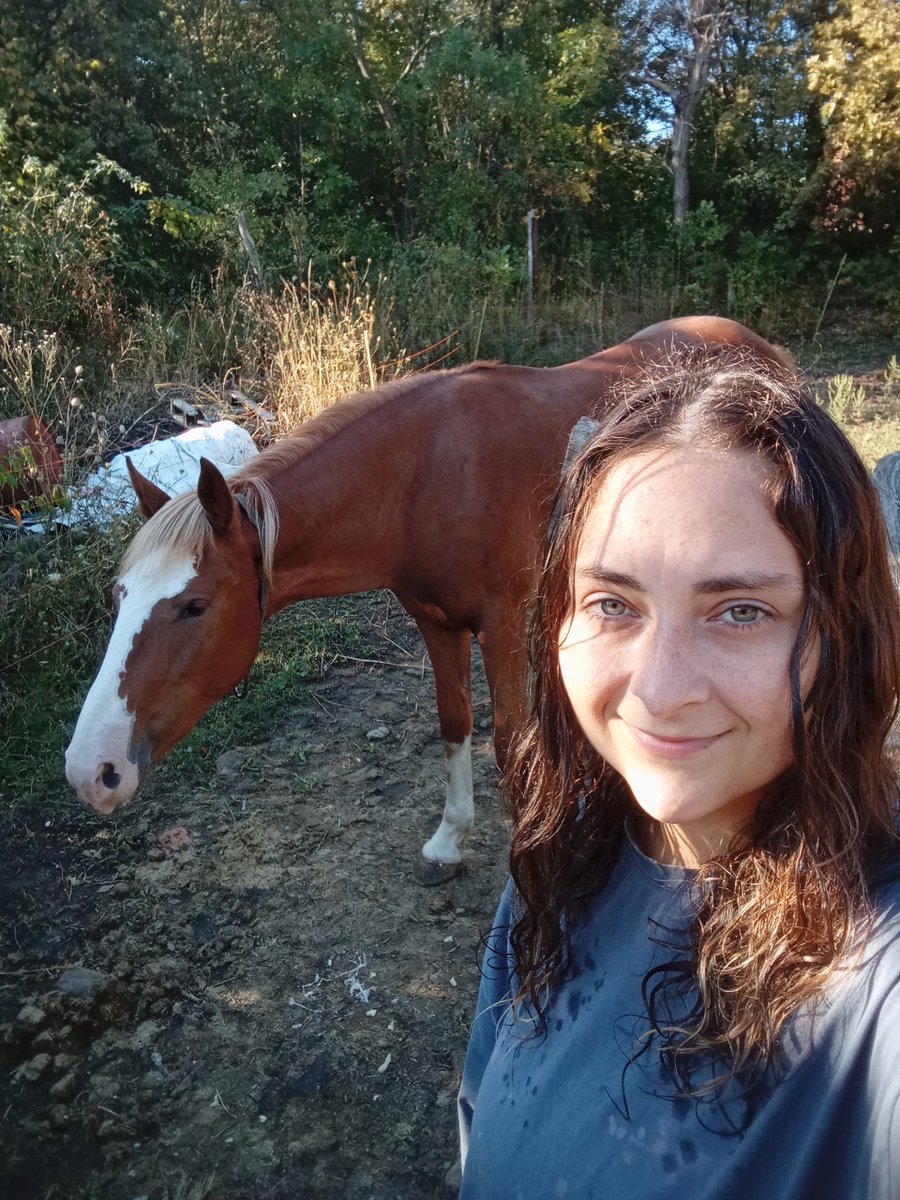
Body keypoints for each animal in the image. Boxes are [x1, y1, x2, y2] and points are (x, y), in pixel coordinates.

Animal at [65, 316, 791, 879]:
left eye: (194, 605)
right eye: (119, 597)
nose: (91, 770)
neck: (424, 478)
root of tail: (752, 341)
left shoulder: (500, 626)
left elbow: (507, 742)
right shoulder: (436, 624)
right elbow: (454, 723)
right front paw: (449, 839)